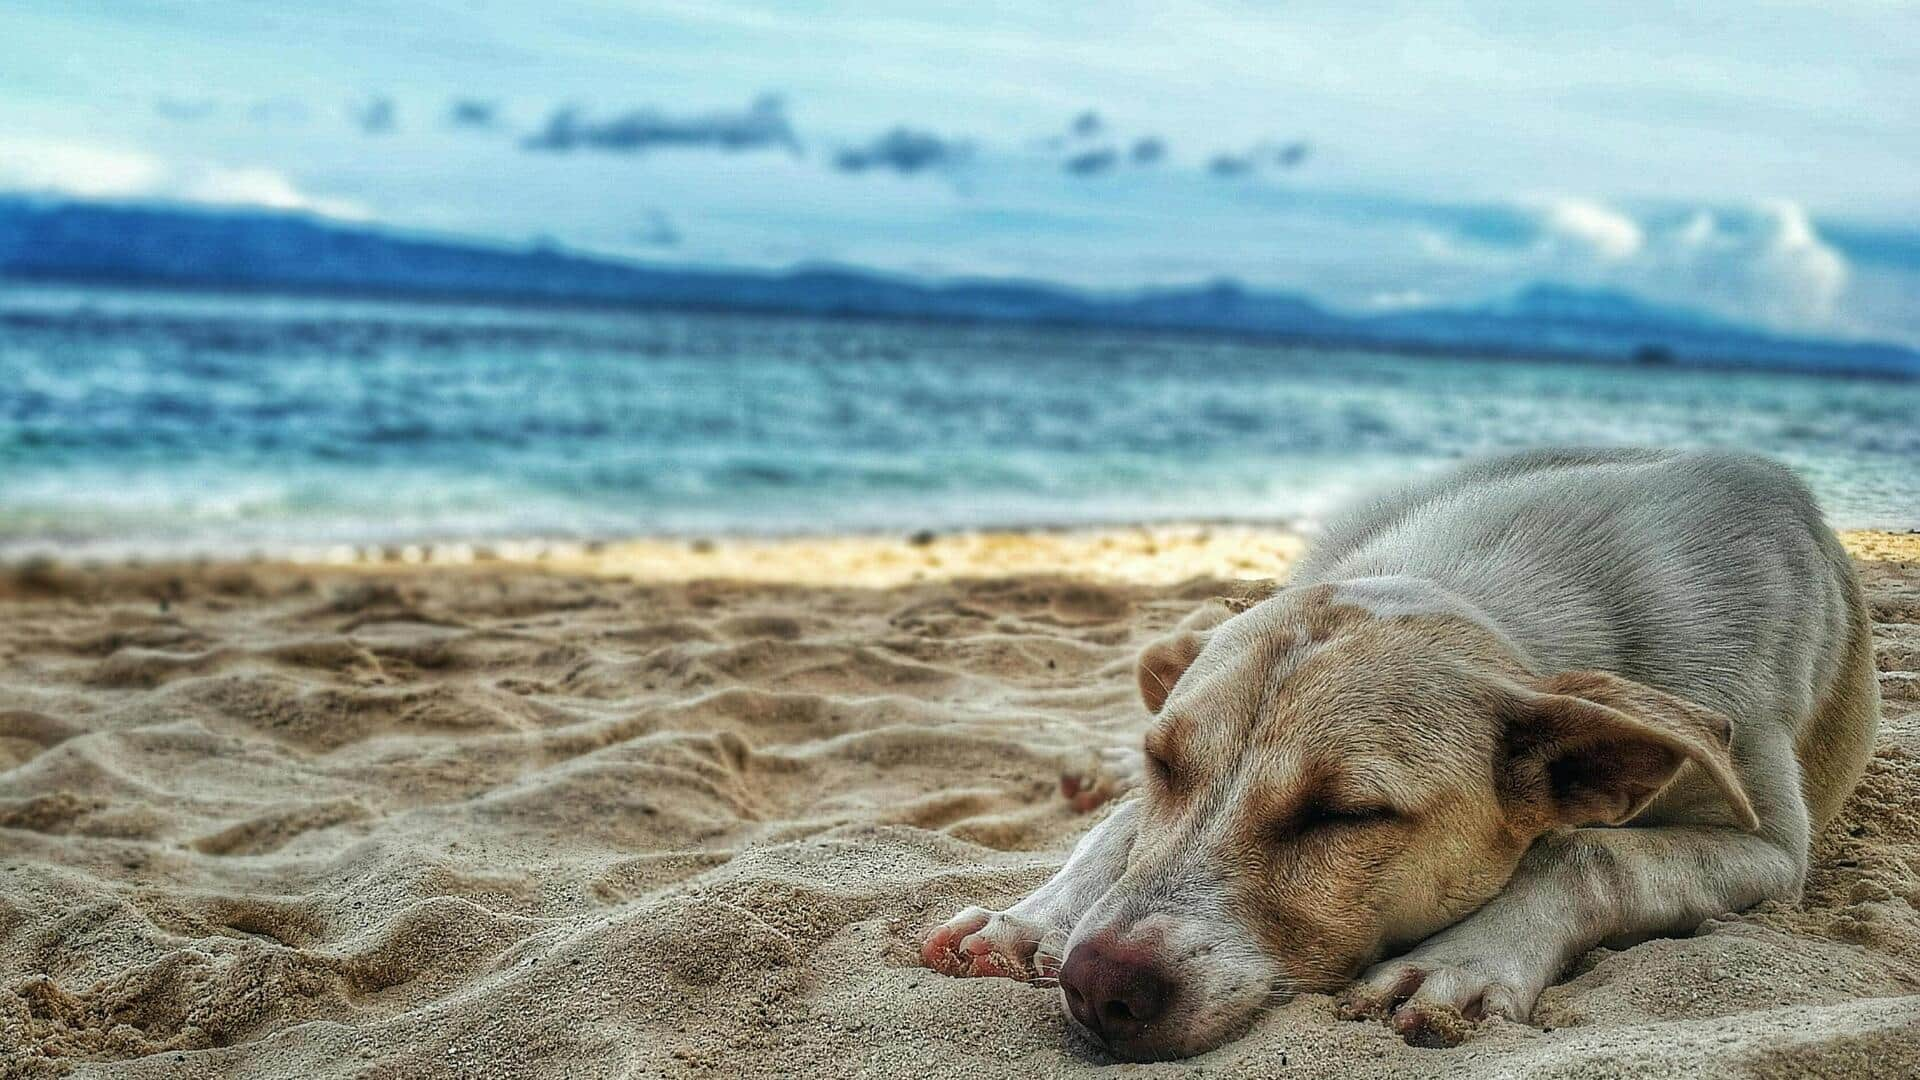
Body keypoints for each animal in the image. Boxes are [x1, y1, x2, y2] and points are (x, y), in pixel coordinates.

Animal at [913, 449, 1873, 1053]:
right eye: (1165, 766)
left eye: (1345, 814)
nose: (1095, 985)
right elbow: (1122, 830)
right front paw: (1037, 915)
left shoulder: (1769, 846)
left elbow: (1587, 849)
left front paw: (1462, 960)